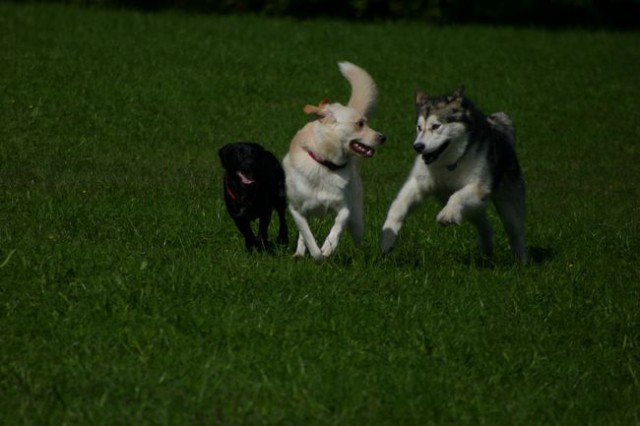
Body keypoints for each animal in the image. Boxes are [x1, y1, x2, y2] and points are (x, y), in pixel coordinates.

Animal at [284, 61, 384, 258]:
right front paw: (317, 254)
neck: (325, 164)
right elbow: (307, 235)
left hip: (357, 219)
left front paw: (328, 248)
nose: (383, 137)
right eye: (360, 124)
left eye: (366, 122)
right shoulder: (296, 210)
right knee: (302, 235)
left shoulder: (344, 208)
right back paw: (299, 254)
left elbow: (338, 226)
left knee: (357, 236)